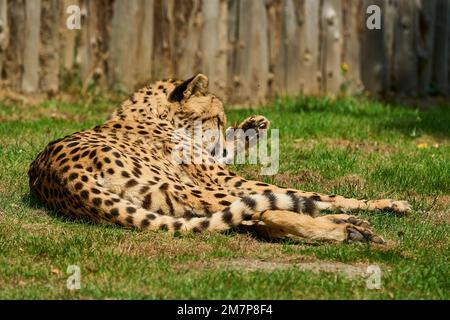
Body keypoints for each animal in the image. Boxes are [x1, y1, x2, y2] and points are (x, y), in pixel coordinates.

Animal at [28, 75, 412, 244]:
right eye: (216, 117)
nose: (225, 124)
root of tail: (60, 177)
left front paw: (252, 128)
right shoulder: (225, 178)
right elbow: (316, 195)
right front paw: (386, 203)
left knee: (256, 218)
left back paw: (348, 230)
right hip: (194, 191)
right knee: (270, 209)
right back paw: (349, 226)